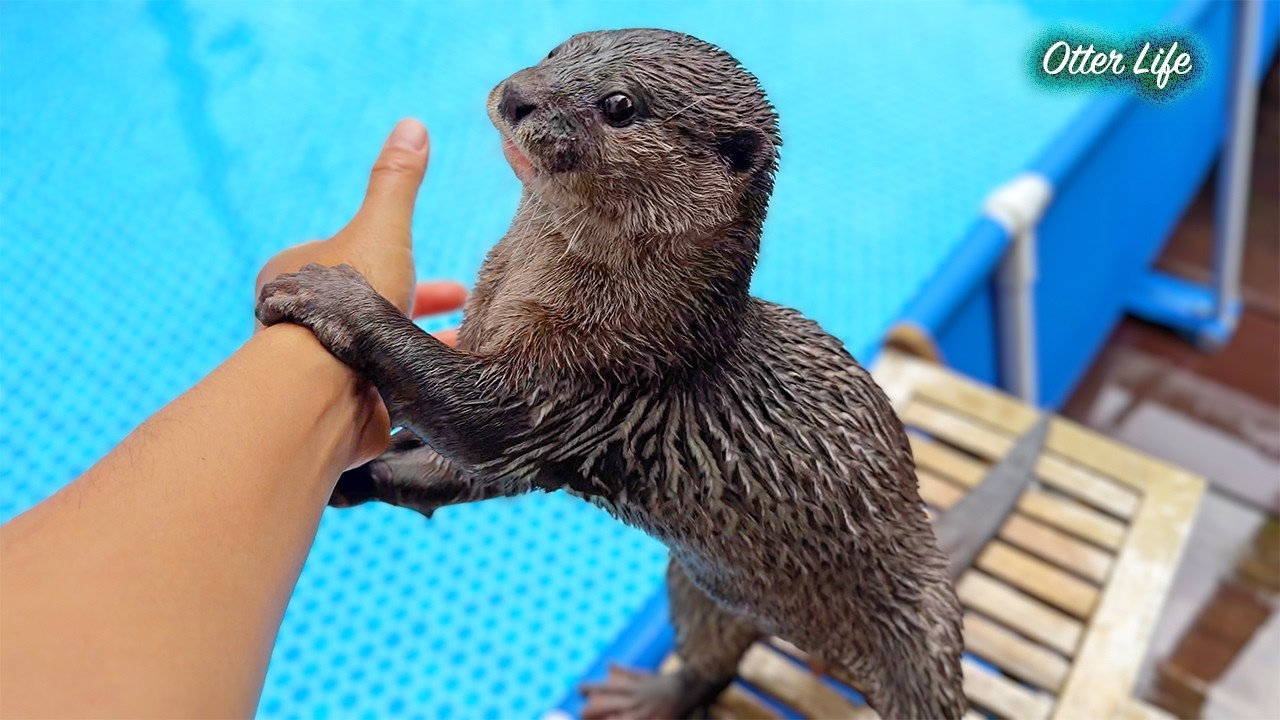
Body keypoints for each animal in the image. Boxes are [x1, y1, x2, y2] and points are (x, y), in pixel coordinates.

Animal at [256, 28, 966, 719]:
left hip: (923, 634)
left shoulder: (578, 388)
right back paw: (648, 697)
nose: (518, 96)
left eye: (620, 105)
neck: (635, 324)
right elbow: (448, 471)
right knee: (710, 662)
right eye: (556, 51)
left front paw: (333, 297)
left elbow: (473, 419)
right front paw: (349, 478)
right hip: (696, 585)